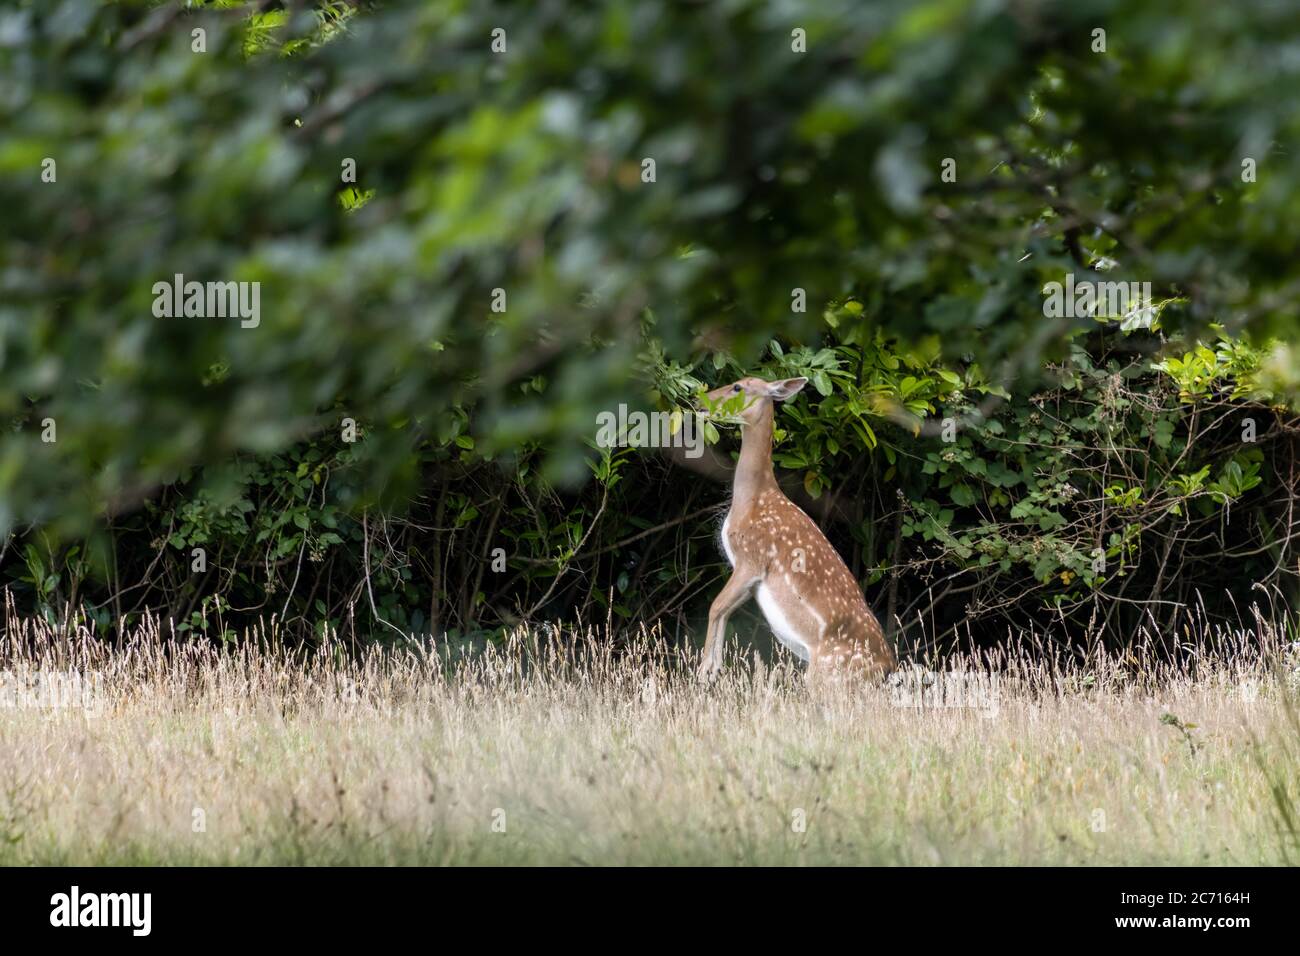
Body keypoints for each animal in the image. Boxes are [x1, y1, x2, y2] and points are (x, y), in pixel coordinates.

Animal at [702, 374, 894, 681]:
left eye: (738, 387)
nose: (700, 402)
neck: (752, 499)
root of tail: (888, 667)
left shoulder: (752, 557)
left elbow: (715, 606)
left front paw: (705, 670)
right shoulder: (751, 578)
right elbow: (723, 610)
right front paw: (713, 669)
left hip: (827, 669)